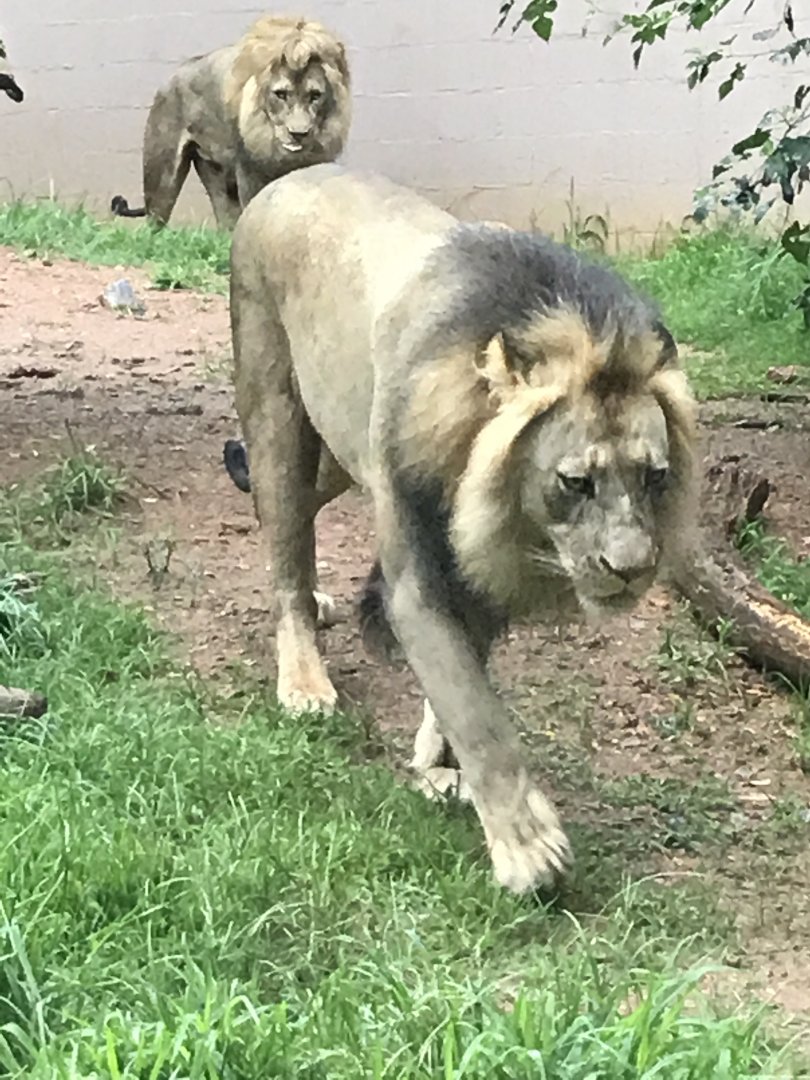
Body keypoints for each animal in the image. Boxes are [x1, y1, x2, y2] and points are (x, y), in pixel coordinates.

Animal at [110, 15, 351, 229]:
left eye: (315, 96)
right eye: (281, 94)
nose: (298, 133)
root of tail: (167, 81)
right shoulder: (249, 174)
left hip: (217, 177)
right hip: (162, 178)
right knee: (154, 226)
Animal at [229, 164, 697, 896]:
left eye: (654, 476)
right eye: (575, 482)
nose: (630, 570)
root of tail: (291, 177)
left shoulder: (480, 573)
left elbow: (462, 679)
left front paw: (436, 768)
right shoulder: (416, 577)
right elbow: (475, 709)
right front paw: (528, 848)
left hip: (336, 448)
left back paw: (321, 601)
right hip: (277, 412)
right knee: (283, 544)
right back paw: (304, 681)